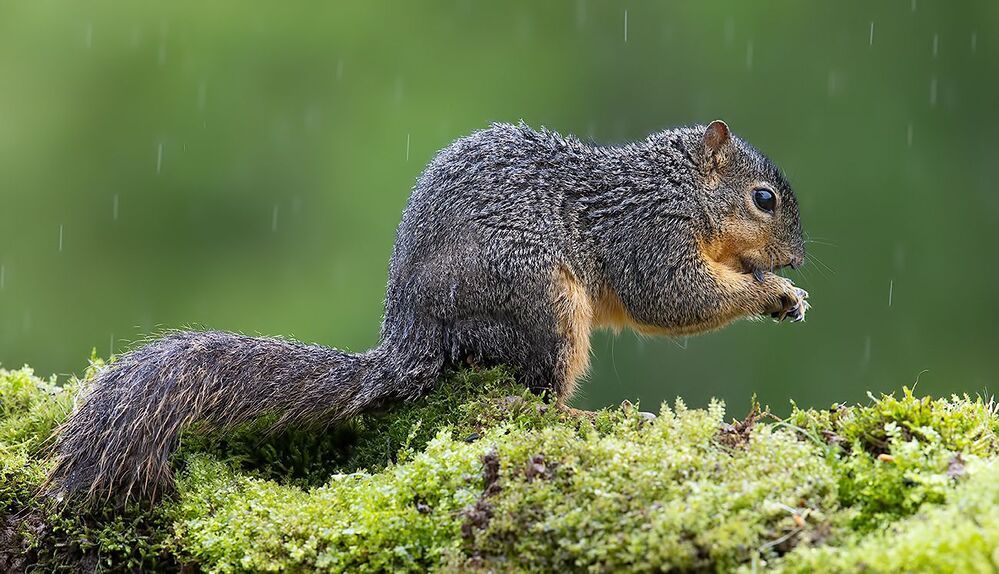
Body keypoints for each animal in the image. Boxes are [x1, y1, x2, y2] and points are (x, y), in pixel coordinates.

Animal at [46, 120, 808, 506]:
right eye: (764, 199)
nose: (798, 260)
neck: (670, 187)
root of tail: (409, 341)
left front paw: (784, 293)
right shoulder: (646, 236)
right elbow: (670, 296)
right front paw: (768, 292)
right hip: (539, 302)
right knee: (529, 393)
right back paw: (583, 416)